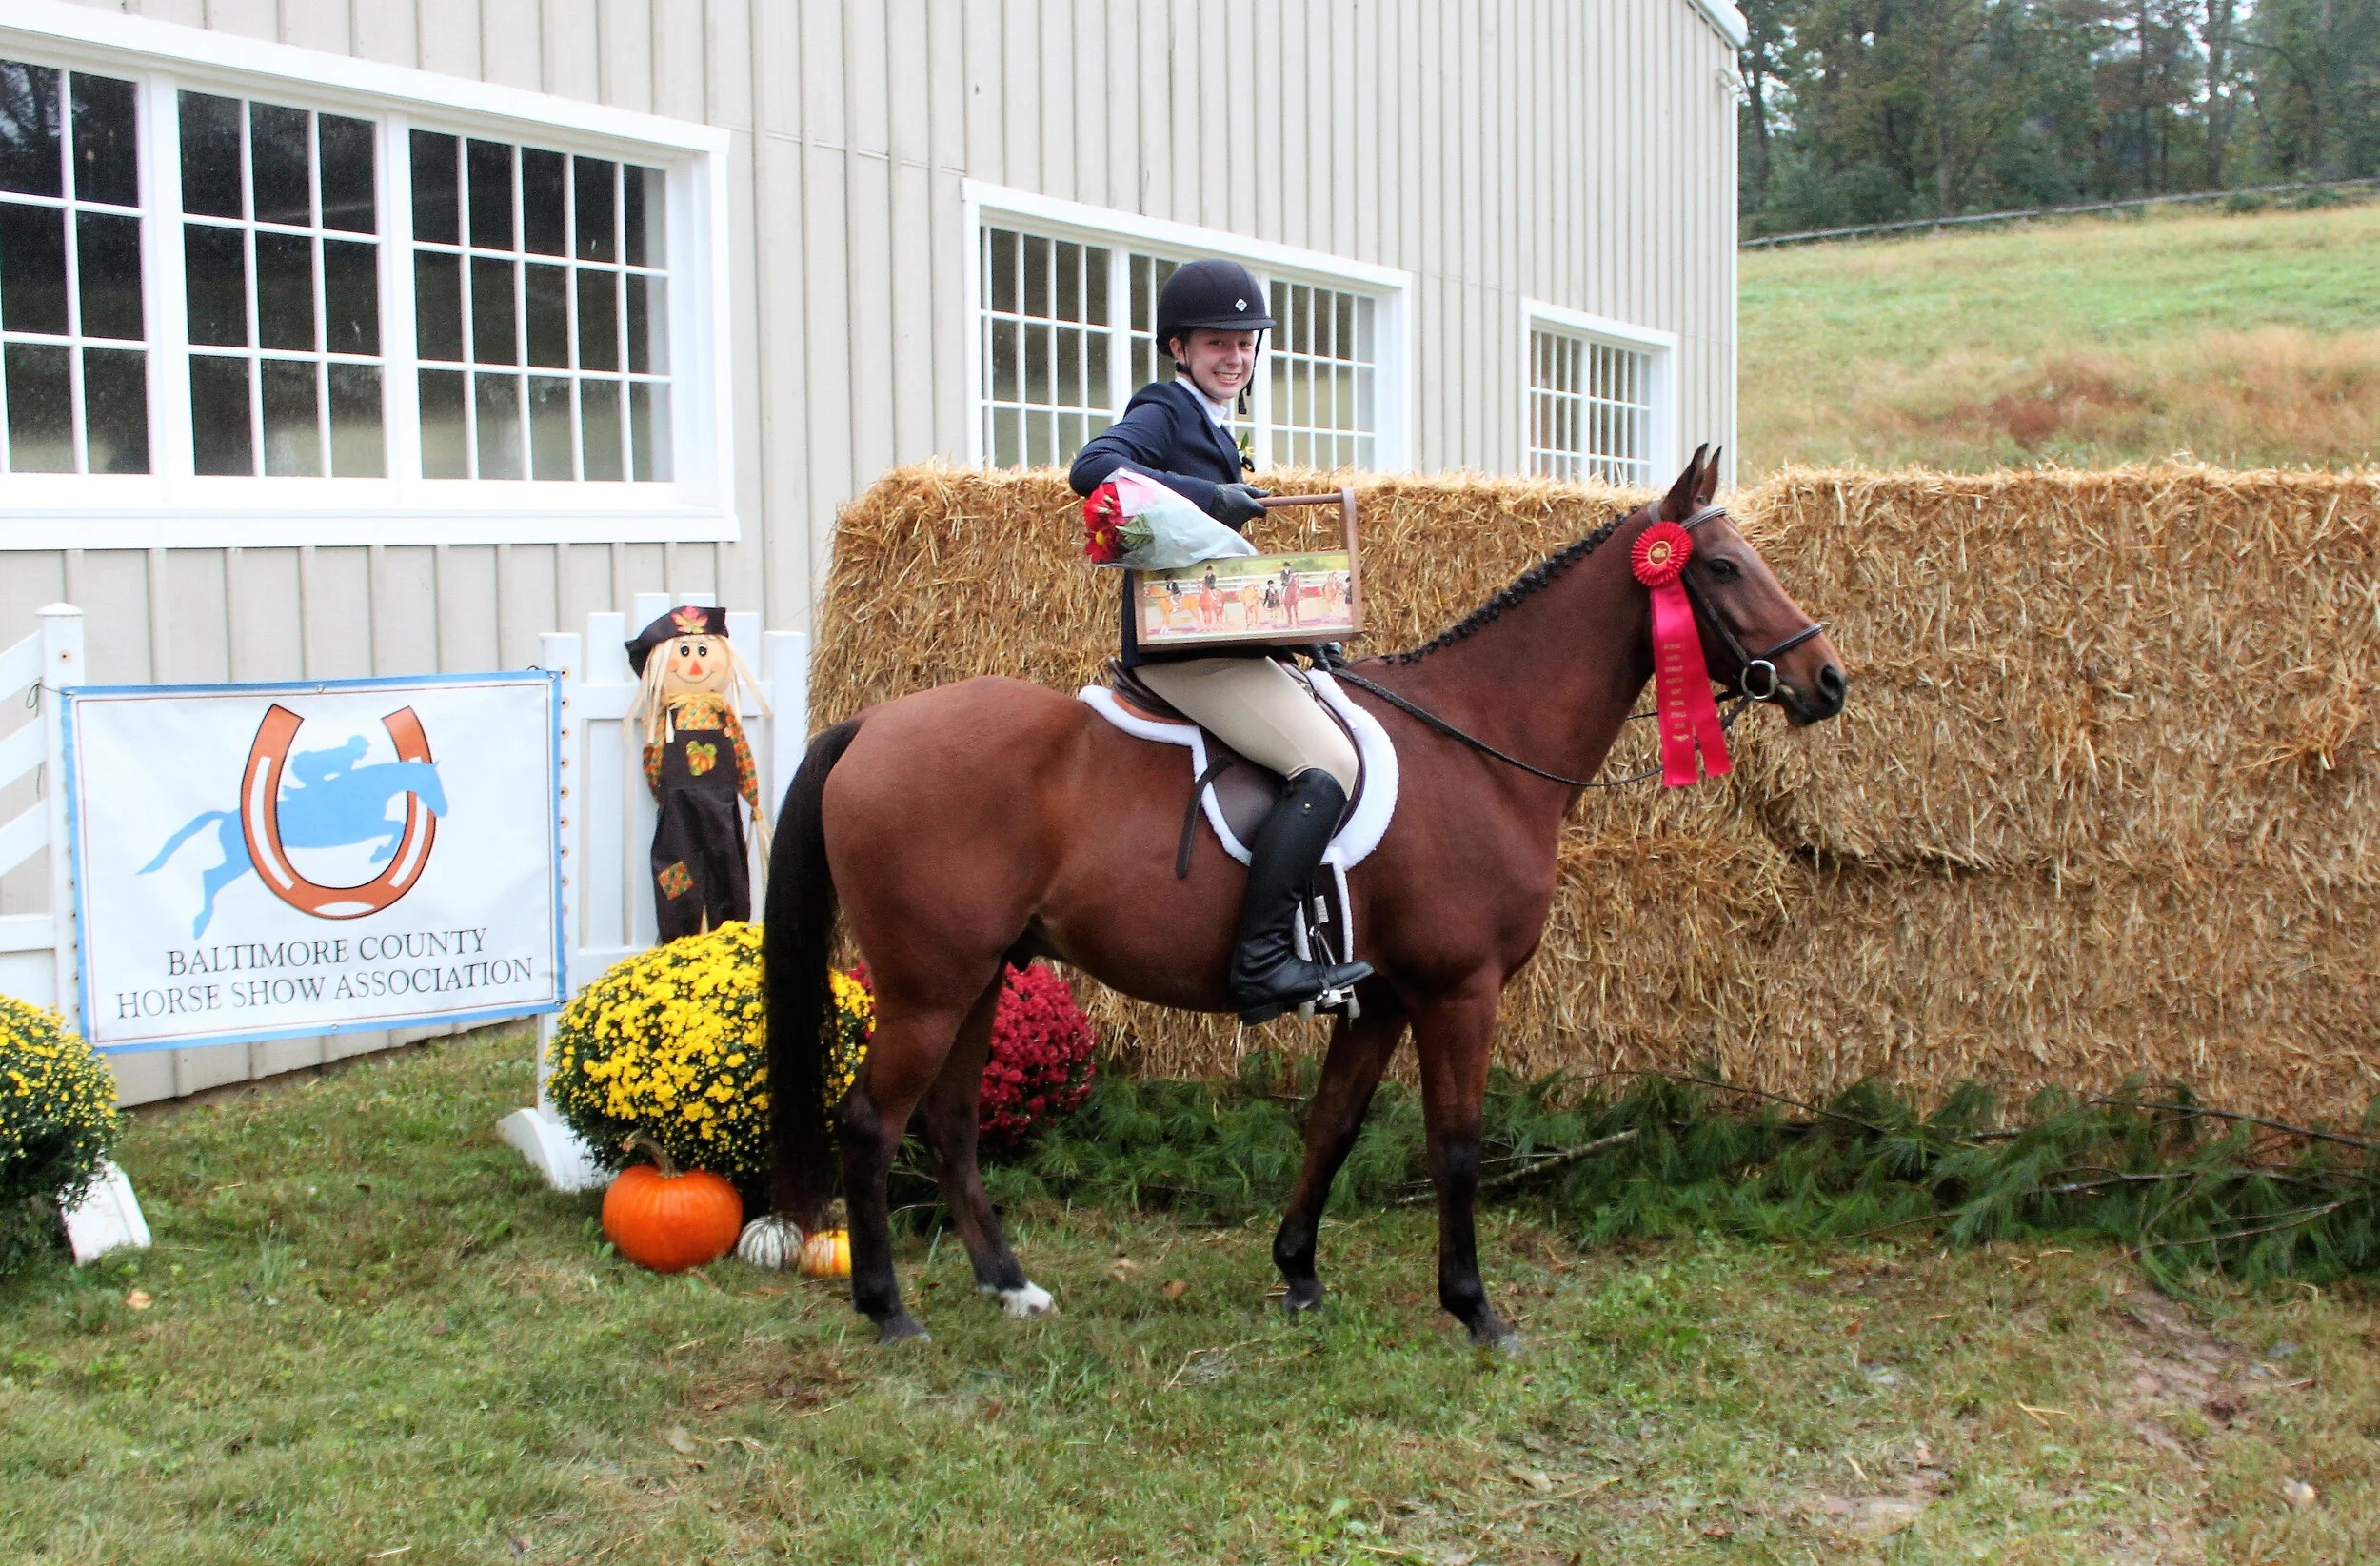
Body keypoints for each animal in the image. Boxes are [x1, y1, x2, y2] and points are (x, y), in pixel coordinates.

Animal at [763, 447, 1846, 1347]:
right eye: (1721, 568)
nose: (1826, 680)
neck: (1480, 745)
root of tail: (872, 724)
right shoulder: (1458, 989)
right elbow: (1455, 1143)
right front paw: (1474, 1308)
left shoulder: (1383, 996)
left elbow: (1332, 1123)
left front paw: (1298, 1274)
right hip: (929, 985)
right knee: (871, 1122)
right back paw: (888, 1308)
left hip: (982, 973)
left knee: (947, 1123)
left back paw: (1009, 1285)